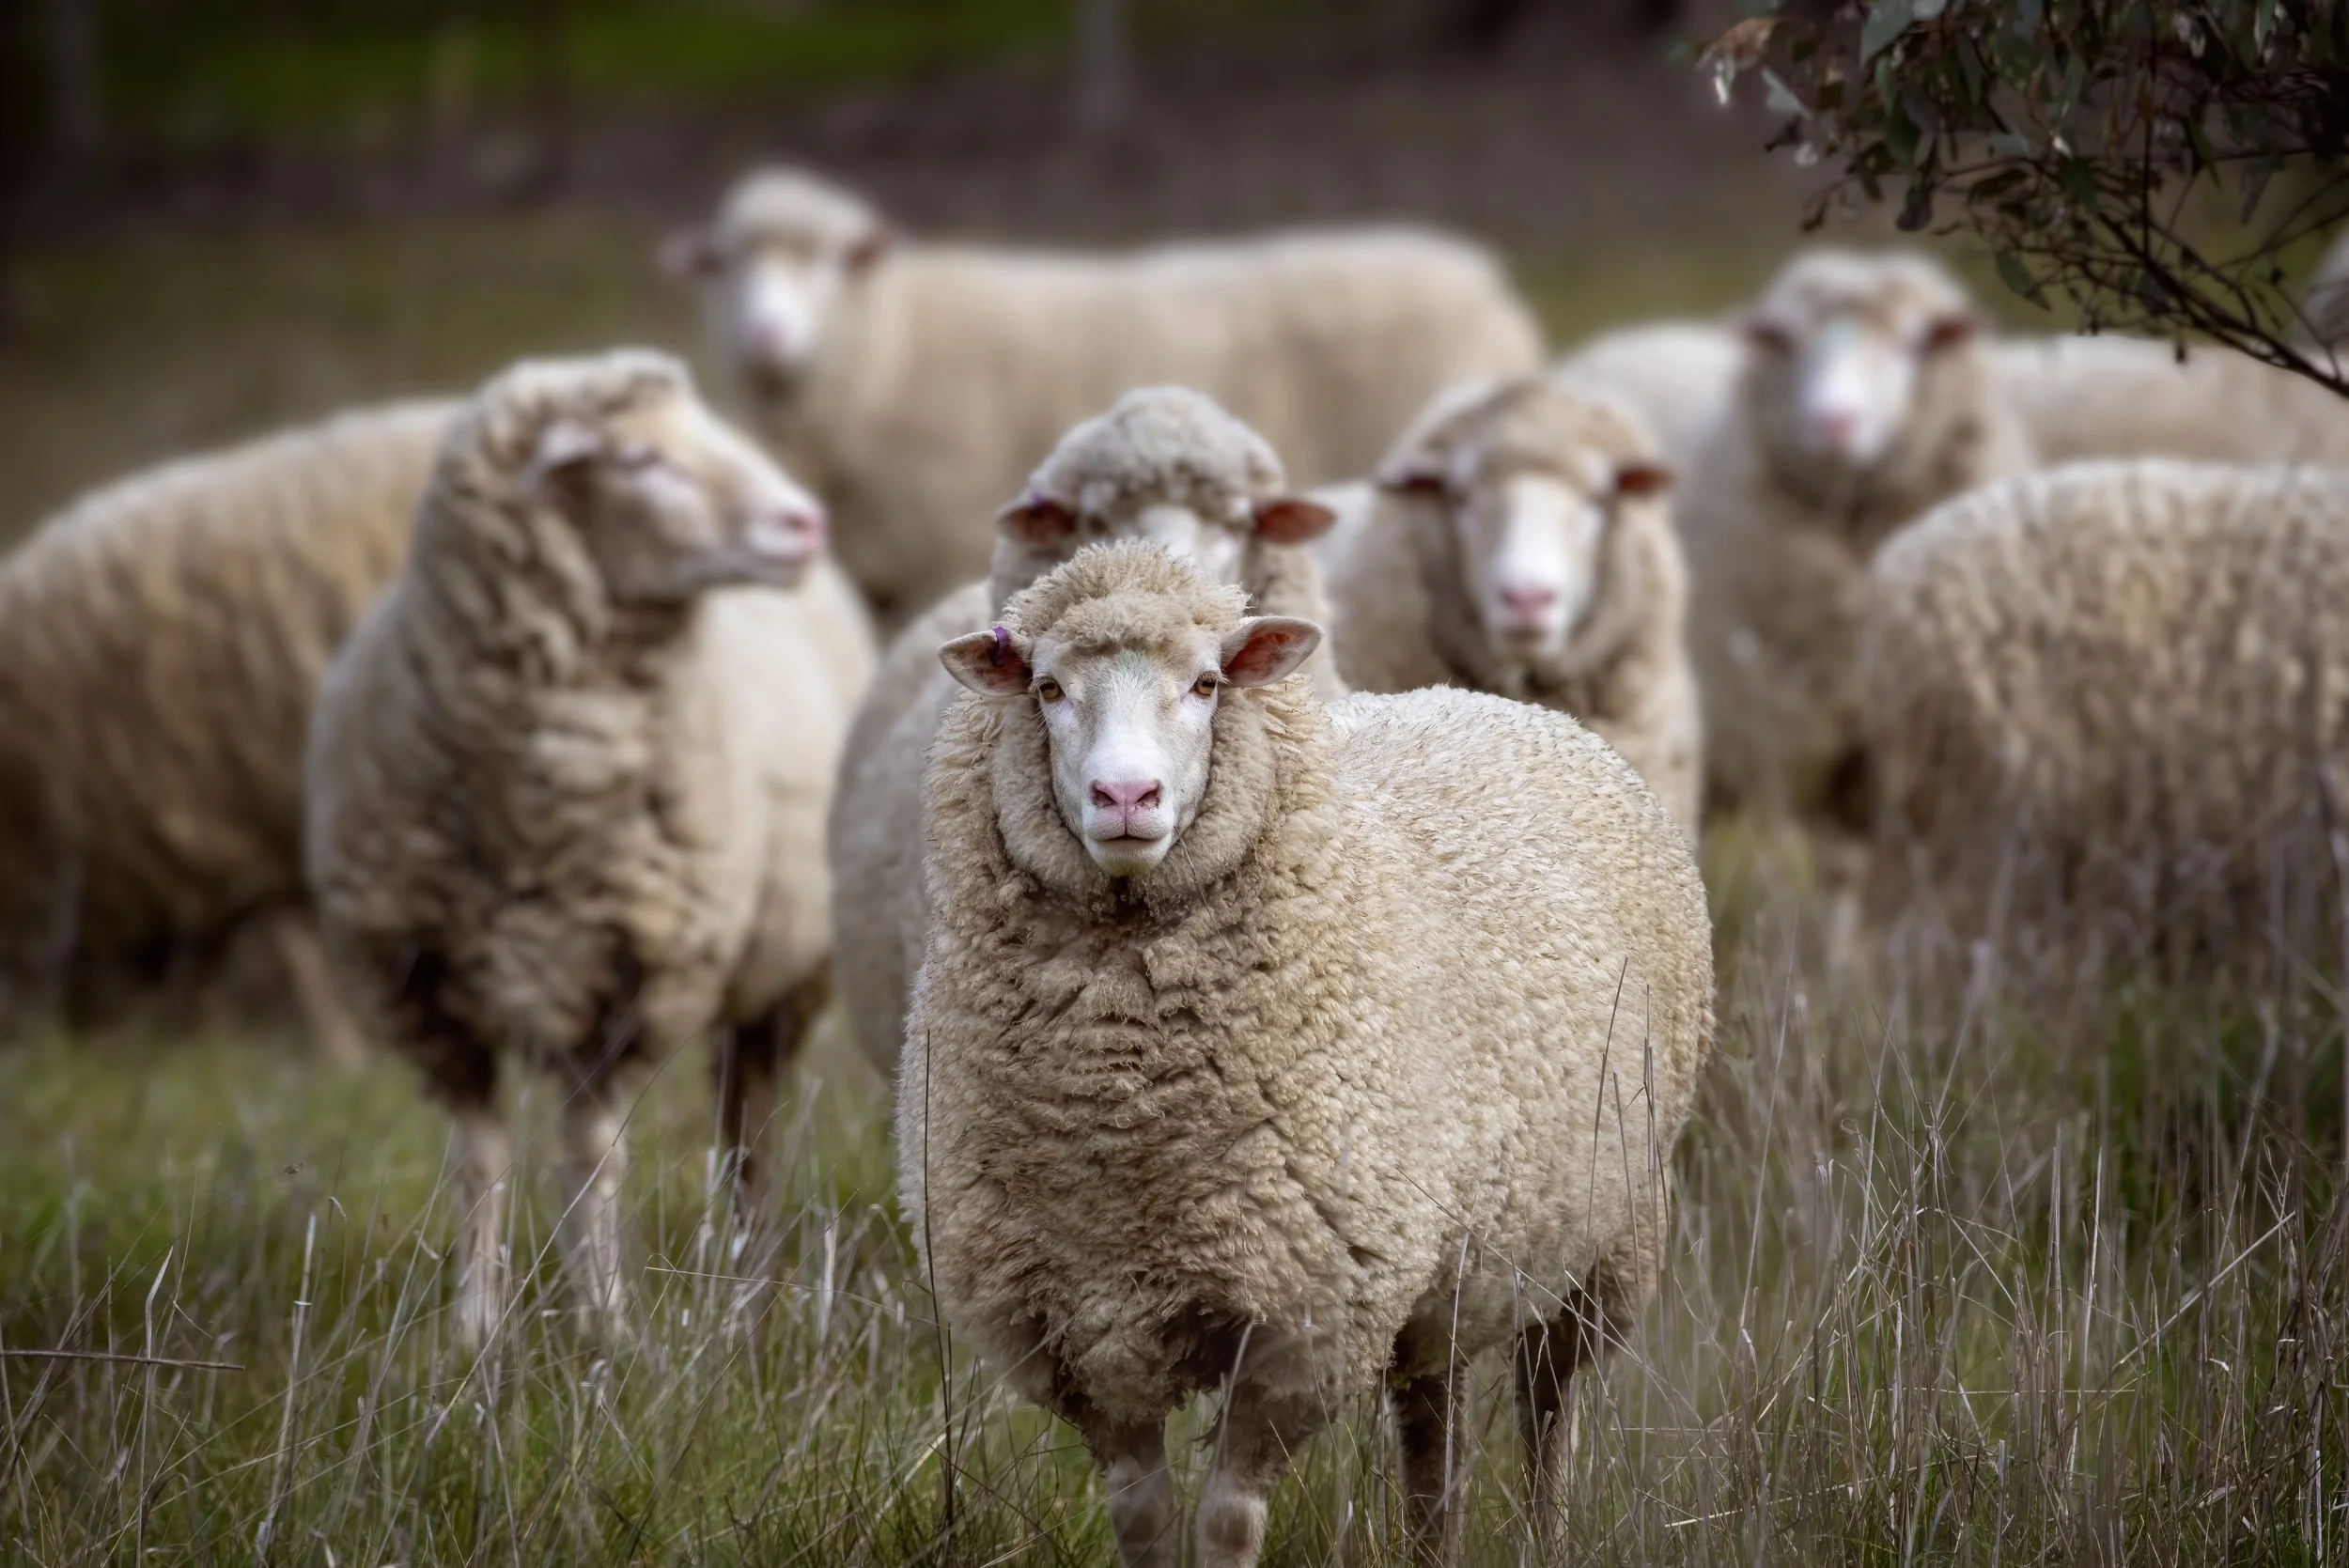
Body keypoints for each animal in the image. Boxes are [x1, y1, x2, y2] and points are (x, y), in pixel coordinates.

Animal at [305, 350, 876, 1343]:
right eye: (640, 459)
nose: (805, 522)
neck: (540, 803)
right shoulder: (428, 998)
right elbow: (479, 1160)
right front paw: (475, 1329)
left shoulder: (633, 983)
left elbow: (590, 1160)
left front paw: (608, 1327)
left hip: (782, 978)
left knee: (752, 1132)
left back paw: (752, 1285)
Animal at [661, 164, 1545, 620]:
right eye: (727, 266)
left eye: (830, 262)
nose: (765, 332)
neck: (889, 342)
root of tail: (1485, 277)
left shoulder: (929, 552)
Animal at [900, 540, 1713, 1568]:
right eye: (1047, 687)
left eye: (1206, 683)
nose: (1125, 797)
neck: (1123, 1120)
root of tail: (1494, 701)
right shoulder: (1083, 1326)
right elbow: (1142, 1519)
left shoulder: (1303, 1318)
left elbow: (1228, 1518)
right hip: (1438, 1265)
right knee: (1432, 1422)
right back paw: (1432, 1544)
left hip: (1608, 1236)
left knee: (1547, 1409)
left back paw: (1547, 1535)